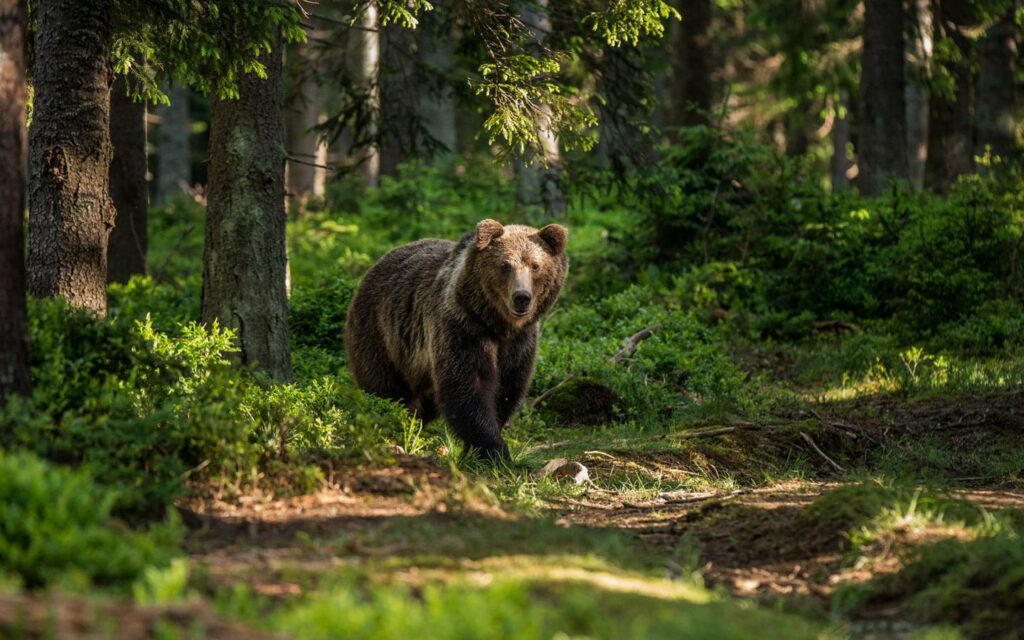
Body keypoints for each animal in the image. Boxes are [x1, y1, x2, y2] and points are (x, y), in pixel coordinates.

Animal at [344, 219, 569, 458]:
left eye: (535, 265)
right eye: (505, 265)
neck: (498, 325)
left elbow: (506, 388)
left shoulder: (519, 344)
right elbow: (468, 387)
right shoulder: (462, 328)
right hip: (380, 334)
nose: (521, 298)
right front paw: (493, 450)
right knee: (386, 388)